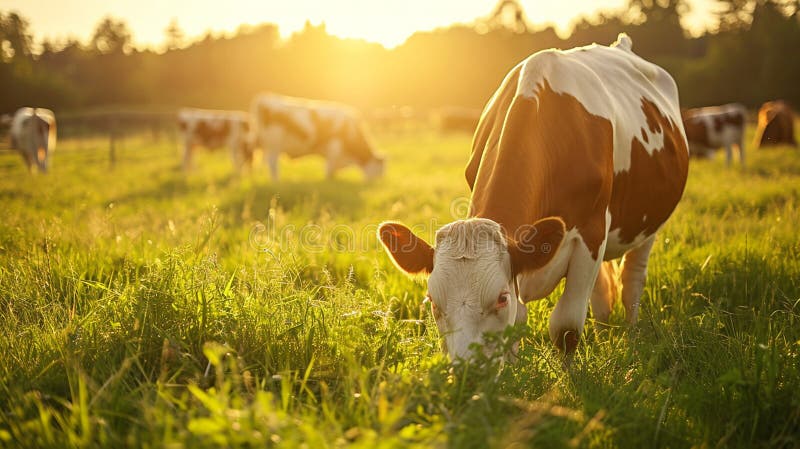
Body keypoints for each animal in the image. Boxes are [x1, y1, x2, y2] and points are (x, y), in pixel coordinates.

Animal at [252, 93, 386, 180]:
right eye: (380, 169)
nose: (377, 184)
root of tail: (263, 99)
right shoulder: (334, 150)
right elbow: (329, 171)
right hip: (274, 144)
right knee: (273, 164)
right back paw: (277, 182)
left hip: (265, 146)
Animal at [376, 33, 688, 358]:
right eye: (433, 303)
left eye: (500, 298)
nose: (466, 367)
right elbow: (519, 322)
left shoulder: (590, 234)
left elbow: (566, 327)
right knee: (603, 293)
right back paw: (605, 336)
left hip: (648, 224)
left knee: (632, 280)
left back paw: (631, 334)